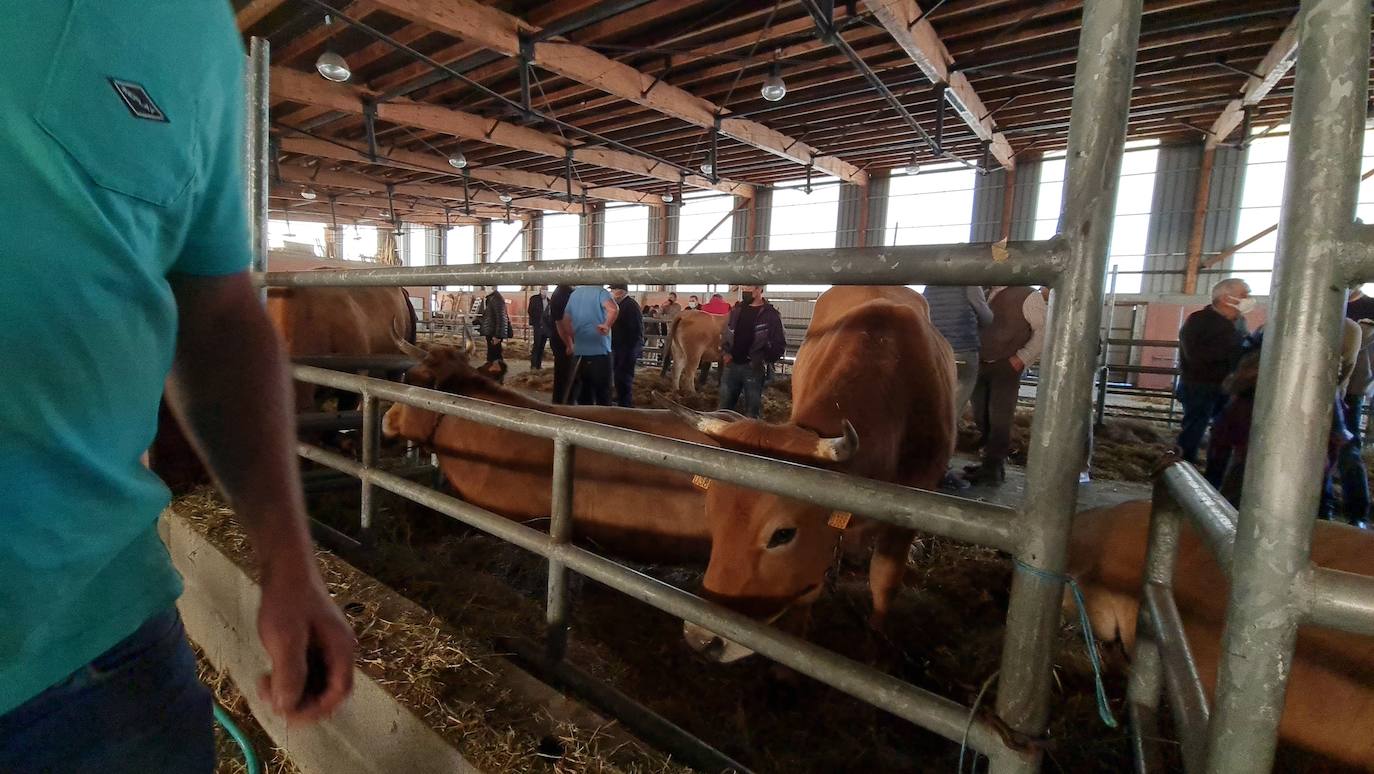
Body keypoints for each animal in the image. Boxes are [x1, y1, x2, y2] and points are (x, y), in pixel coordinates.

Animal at [665, 284, 956, 659]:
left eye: (783, 534)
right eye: (711, 514)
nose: (702, 639)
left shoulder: (911, 512)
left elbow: (884, 582)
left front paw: (874, 644)